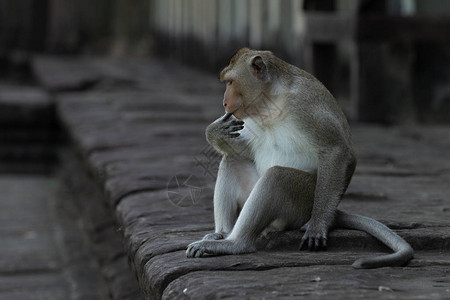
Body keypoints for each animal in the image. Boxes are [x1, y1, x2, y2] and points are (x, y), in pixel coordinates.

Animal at [185, 48, 414, 268]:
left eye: (230, 82)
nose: (224, 103)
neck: (272, 98)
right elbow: (246, 152)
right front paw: (214, 131)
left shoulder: (304, 105)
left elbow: (338, 151)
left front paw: (318, 224)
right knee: (232, 160)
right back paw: (222, 234)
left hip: (301, 205)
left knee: (277, 177)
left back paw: (234, 243)